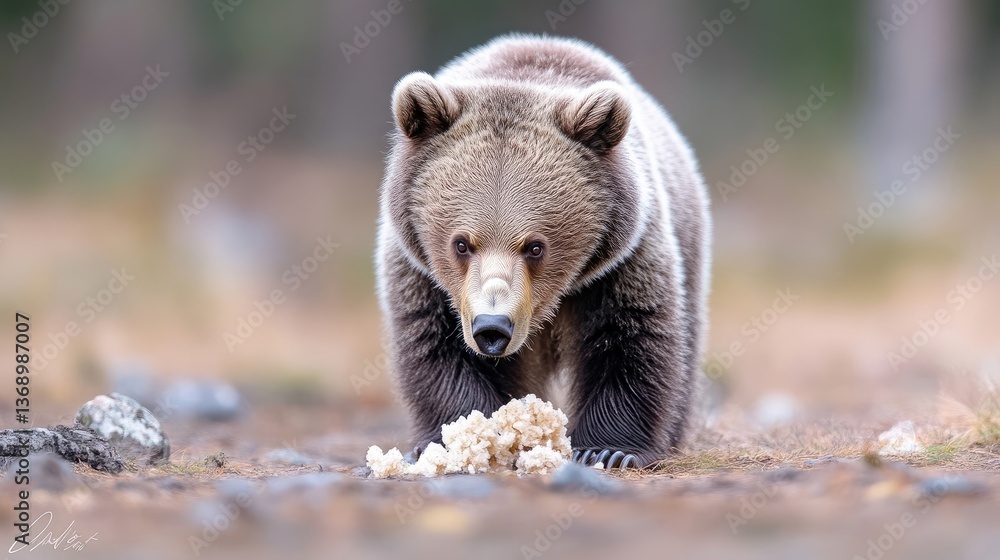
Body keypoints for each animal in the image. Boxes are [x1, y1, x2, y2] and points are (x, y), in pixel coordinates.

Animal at [375, 34, 711, 469]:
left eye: (535, 246)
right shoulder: (421, 272)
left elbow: (630, 337)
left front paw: (608, 449)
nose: (492, 327)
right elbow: (436, 344)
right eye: (461, 243)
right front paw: (465, 436)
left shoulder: (622, 262)